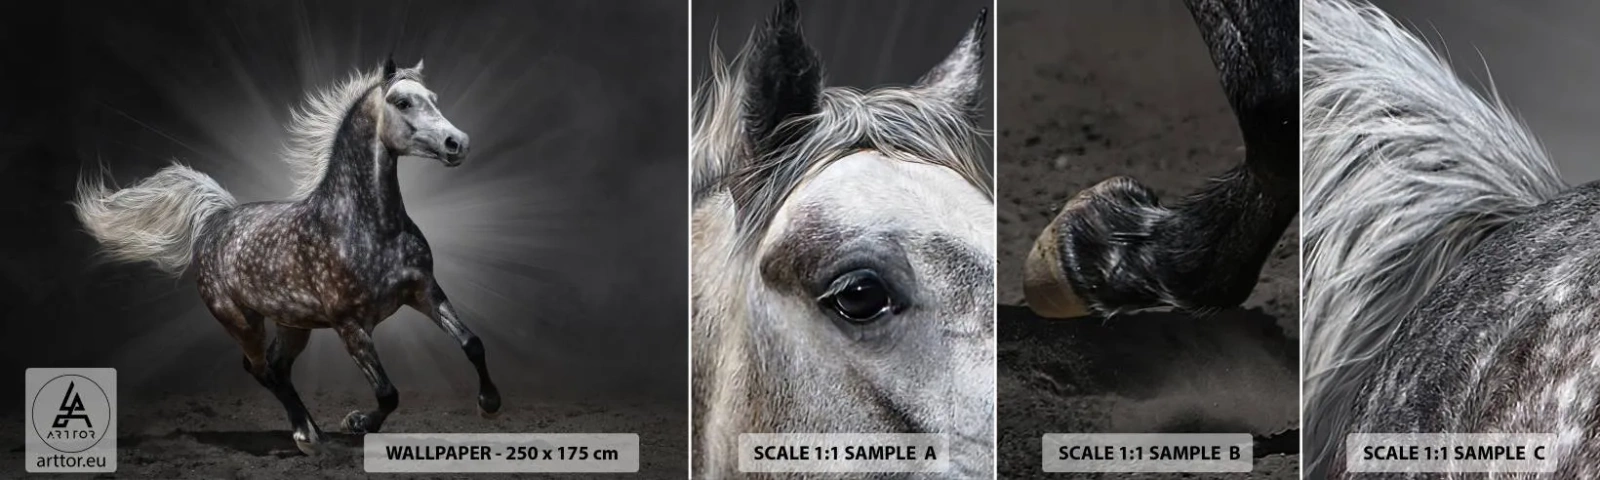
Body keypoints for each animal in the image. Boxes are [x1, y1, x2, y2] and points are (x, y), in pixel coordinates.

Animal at [72, 58, 500, 455]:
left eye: (433, 98)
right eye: (402, 102)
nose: (457, 142)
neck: (371, 226)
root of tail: (217, 218)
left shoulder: (425, 292)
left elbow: (473, 343)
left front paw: (489, 404)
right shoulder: (350, 325)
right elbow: (387, 392)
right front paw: (357, 422)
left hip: (293, 324)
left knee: (277, 368)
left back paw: (312, 430)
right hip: (241, 321)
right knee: (261, 369)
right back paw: (306, 436)